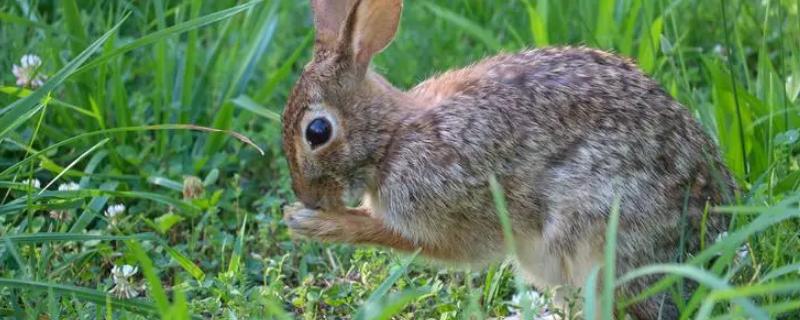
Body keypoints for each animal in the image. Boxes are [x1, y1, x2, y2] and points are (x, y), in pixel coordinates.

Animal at [280, 0, 732, 318]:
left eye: (317, 132)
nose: (307, 198)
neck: (394, 138)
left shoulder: (444, 207)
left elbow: (399, 235)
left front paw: (312, 223)